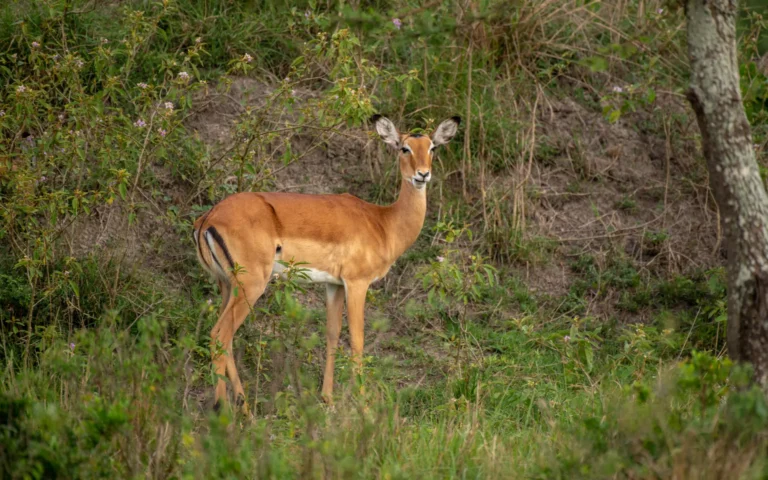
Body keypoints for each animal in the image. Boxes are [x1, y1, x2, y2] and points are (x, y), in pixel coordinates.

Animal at [193, 114, 461, 409]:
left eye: (432, 147)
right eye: (404, 148)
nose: (422, 174)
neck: (383, 223)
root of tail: (208, 219)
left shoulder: (334, 285)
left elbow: (332, 334)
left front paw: (328, 397)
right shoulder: (357, 283)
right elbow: (357, 339)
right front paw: (362, 403)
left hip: (228, 286)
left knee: (225, 338)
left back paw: (243, 405)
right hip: (251, 286)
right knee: (220, 335)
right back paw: (224, 408)